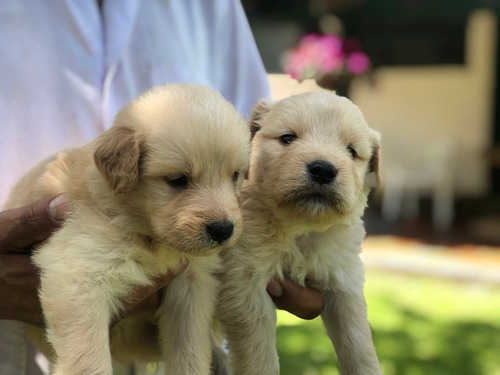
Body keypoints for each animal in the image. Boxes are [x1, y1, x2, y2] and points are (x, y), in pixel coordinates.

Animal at [4, 83, 250, 374]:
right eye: (177, 180)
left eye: (235, 175)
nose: (223, 230)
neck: (147, 235)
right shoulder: (79, 275)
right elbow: (89, 362)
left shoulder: (192, 285)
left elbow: (189, 350)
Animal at [216, 92, 382, 375]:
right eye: (287, 138)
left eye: (351, 151)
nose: (323, 170)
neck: (301, 230)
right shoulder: (245, 287)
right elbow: (259, 355)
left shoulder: (343, 279)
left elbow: (358, 342)